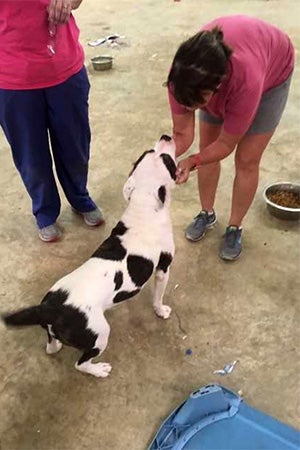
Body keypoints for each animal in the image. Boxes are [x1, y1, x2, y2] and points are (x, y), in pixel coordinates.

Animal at [1, 135, 176, 378]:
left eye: (147, 152)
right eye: (168, 160)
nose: (166, 137)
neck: (144, 205)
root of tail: (49, 308)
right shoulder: (163, 269)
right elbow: (158, 297)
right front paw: (161, 311)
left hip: (57, 332)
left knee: (51, 346)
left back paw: (56, 346)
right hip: (99, 334)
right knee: (81, 363)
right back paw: (99, 370)